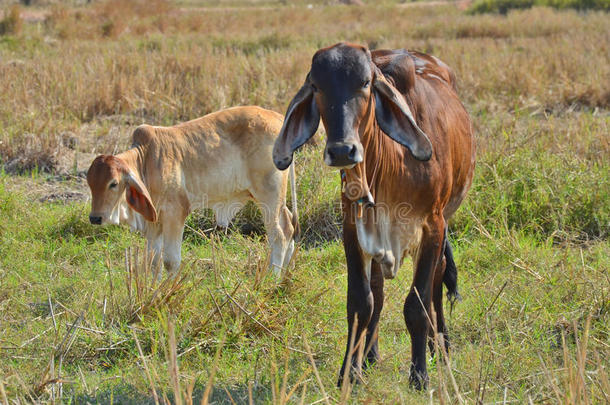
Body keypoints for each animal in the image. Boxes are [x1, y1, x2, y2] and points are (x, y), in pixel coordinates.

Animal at [272, 44, 476, 388]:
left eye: (366, 83)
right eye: (317, 86)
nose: (343, 151)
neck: (393, 163)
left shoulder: (432, 225)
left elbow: (417, 303)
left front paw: (419, 374)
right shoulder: (353, 229)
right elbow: (361, 303)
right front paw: (348, 372)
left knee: (437, 280)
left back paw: (440, 346)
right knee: (378, 293)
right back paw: (369, 355)